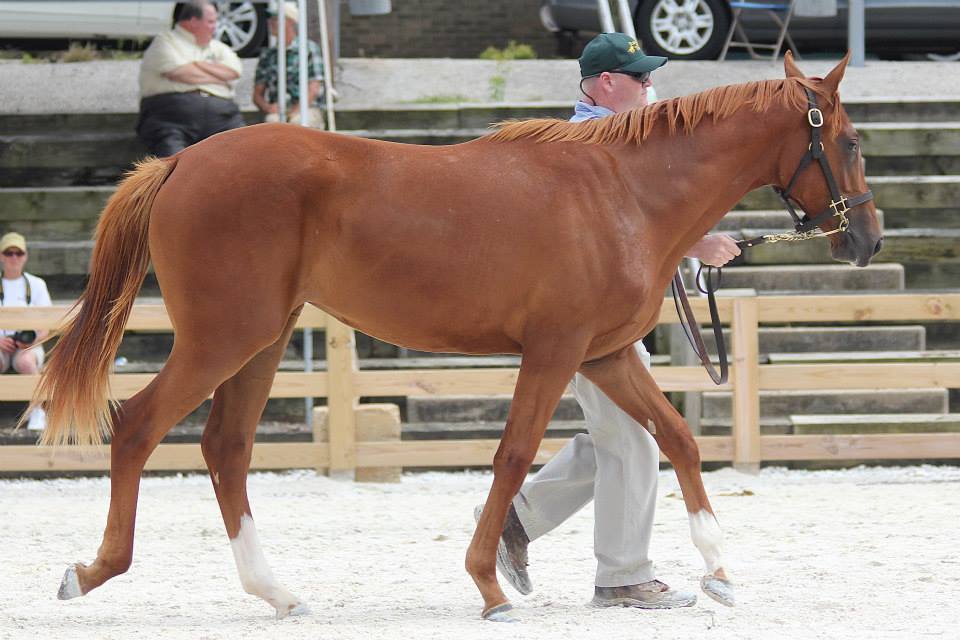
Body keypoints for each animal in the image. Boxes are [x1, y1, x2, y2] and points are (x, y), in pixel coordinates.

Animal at [35, 52, 876, 624]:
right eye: (851, 141)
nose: (865, 238)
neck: (622, 192)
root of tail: (179, 162)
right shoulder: (556, 351)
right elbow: (512, 455)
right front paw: (489, 583)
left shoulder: (604, 354)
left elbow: (678, 439)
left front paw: (719, 570)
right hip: (221, 338)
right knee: (138, 427)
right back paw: (92, 571)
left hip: (260, 342)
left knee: (226, 448)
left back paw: (277, 593)